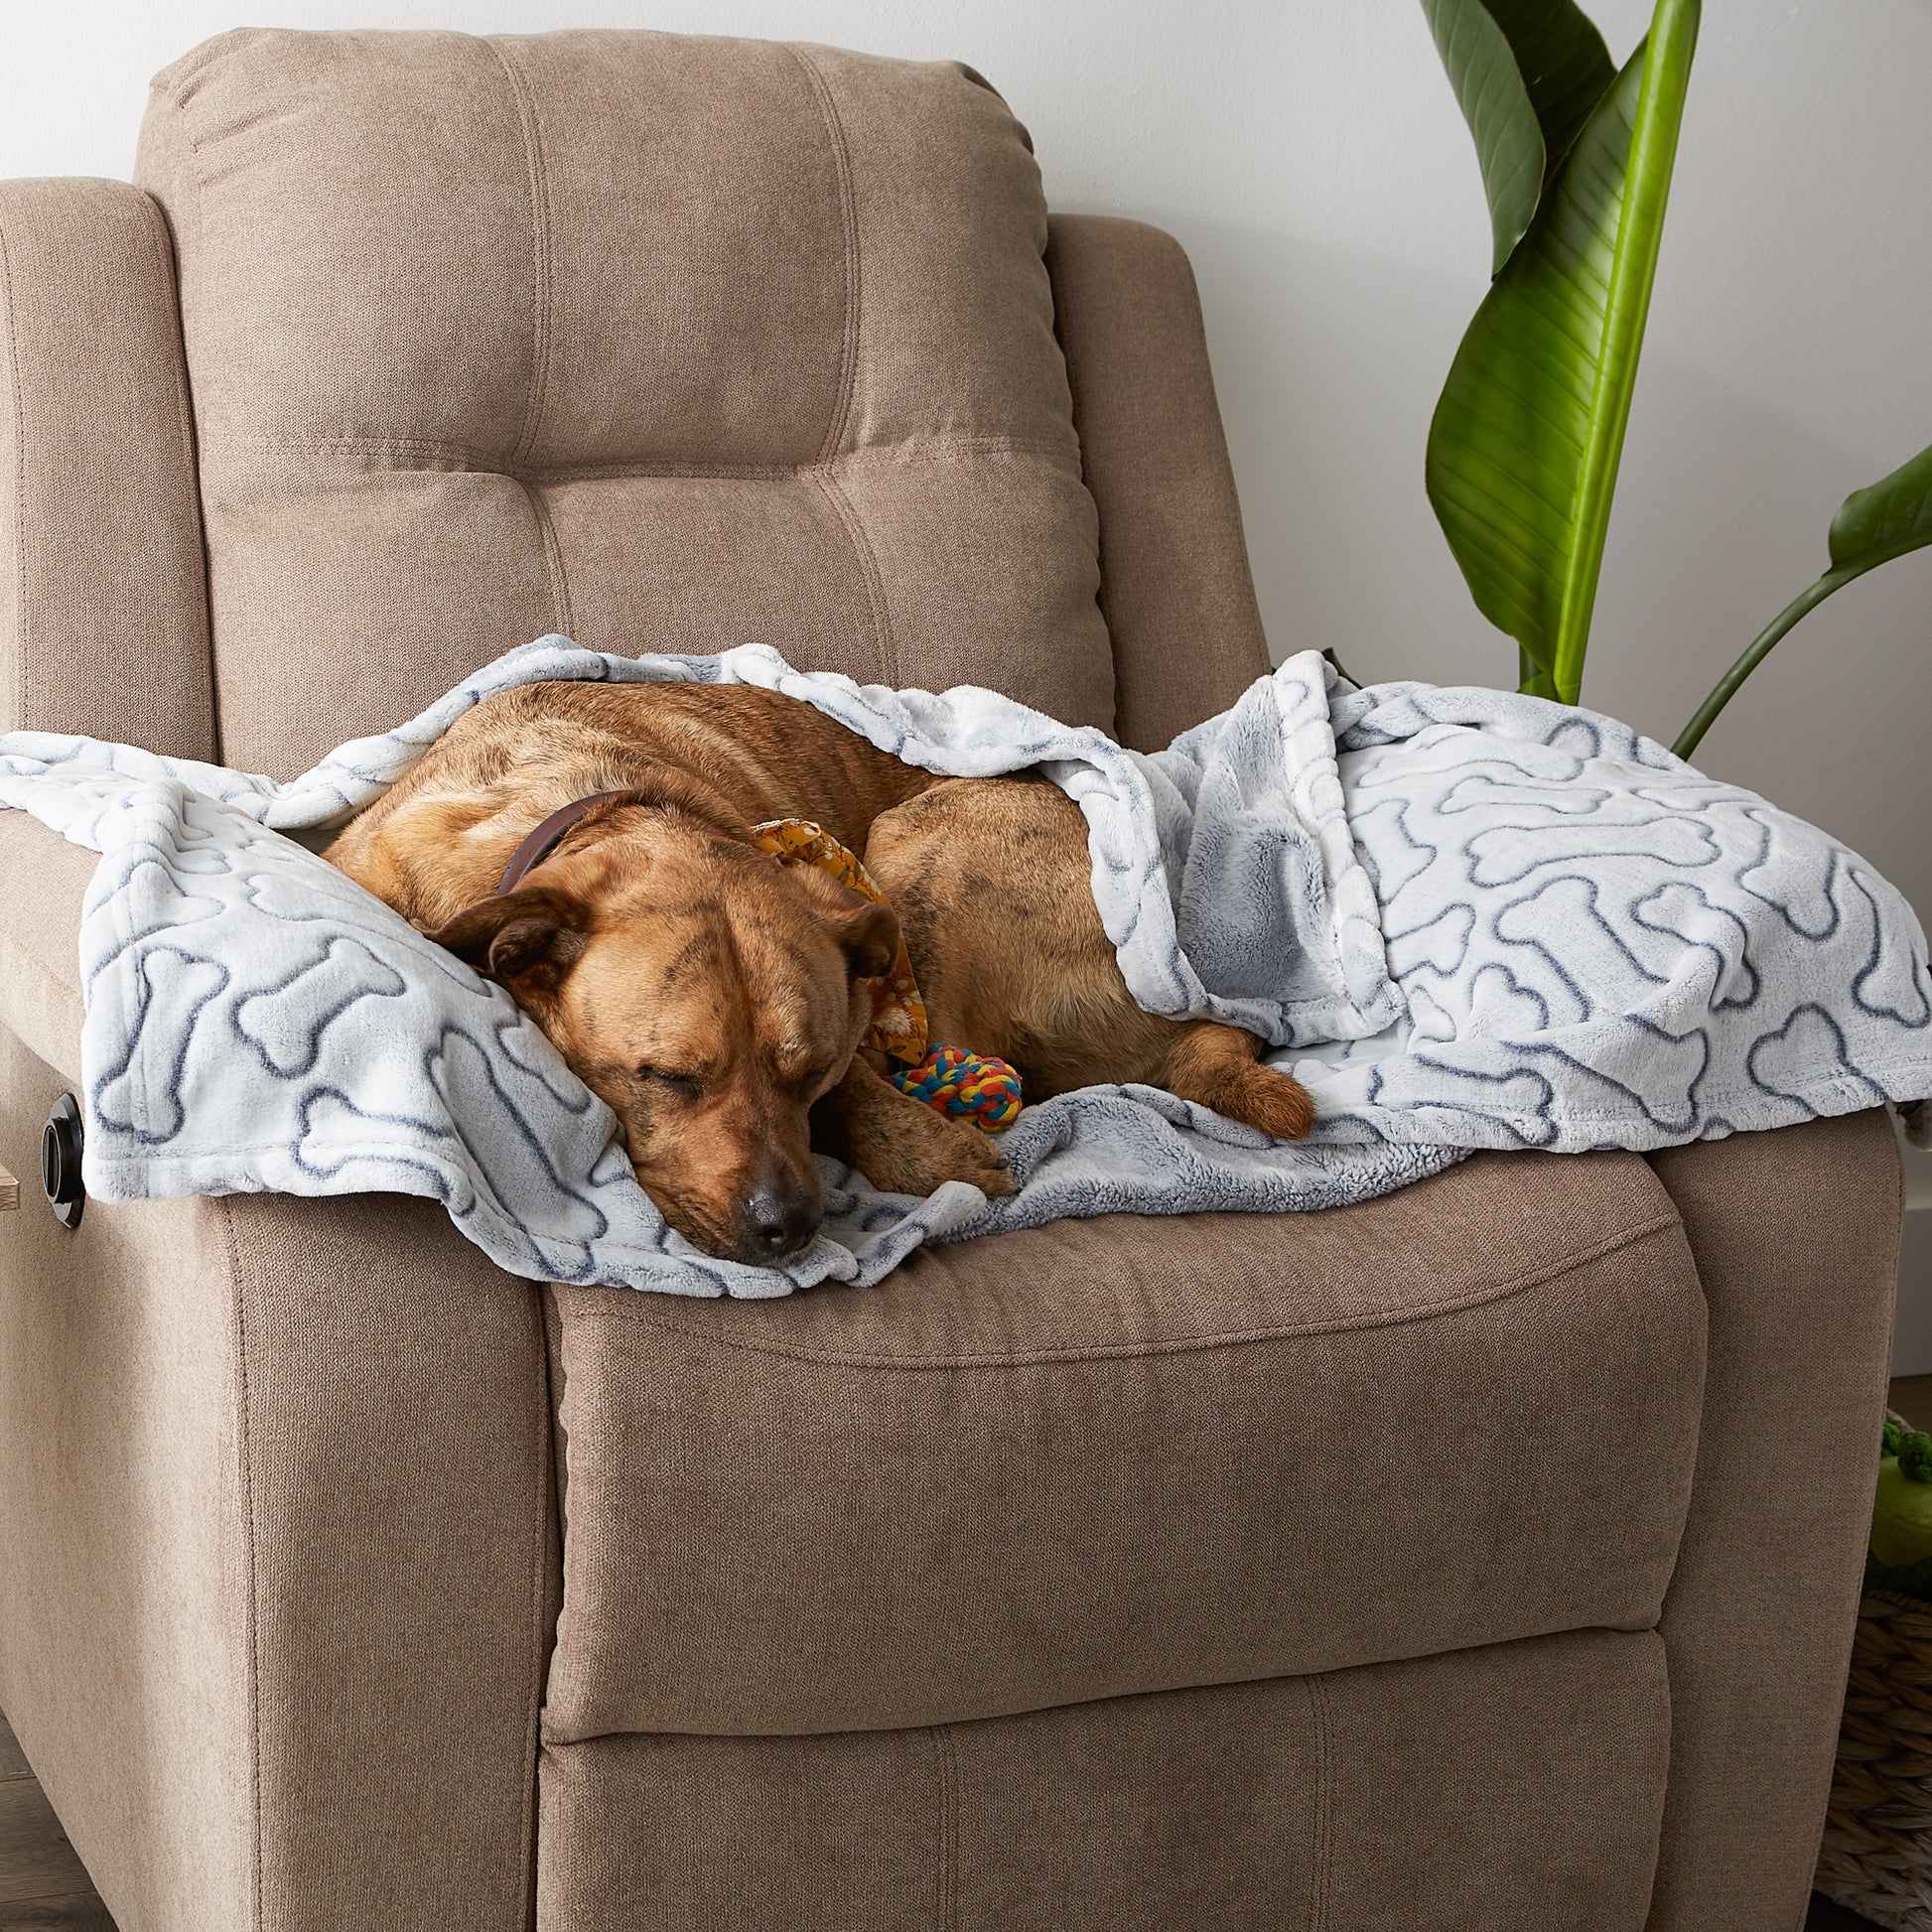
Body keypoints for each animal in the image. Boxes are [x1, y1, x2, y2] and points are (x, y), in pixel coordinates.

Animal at [324, 683, 1313, 1267]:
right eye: (667, 1079)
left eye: (812, 1075)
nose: (790, 1227)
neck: (591, 808)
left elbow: (874, 1083)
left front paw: (918, 1144)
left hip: (926, 849)